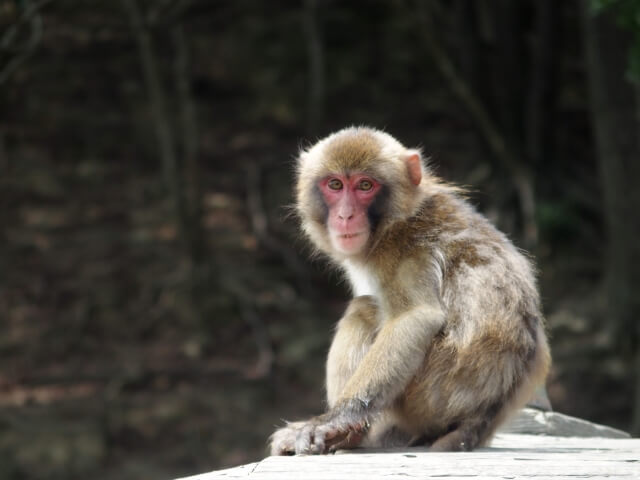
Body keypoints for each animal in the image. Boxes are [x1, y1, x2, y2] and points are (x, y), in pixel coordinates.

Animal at [270, 126, 550, 455]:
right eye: (335, 185)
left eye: (365, 185)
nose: (345, 216)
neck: (398, 218)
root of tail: (483, 418)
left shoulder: (404, 251)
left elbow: (416, 318)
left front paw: (336, 419)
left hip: (431, 395)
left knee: (364, 309)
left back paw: (352, 435)